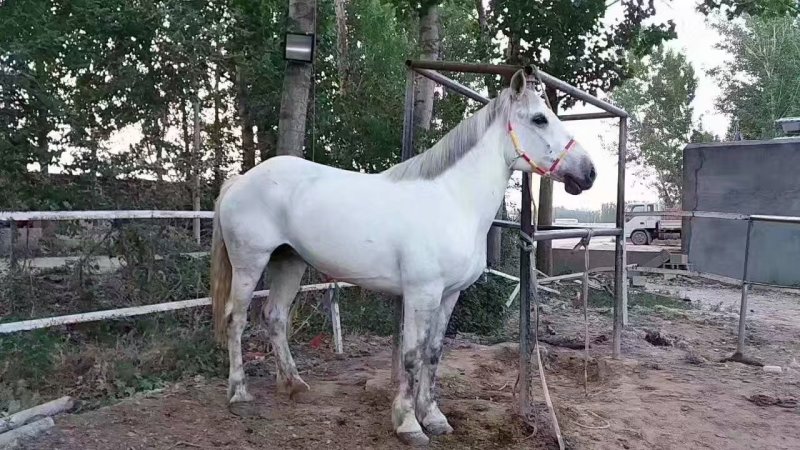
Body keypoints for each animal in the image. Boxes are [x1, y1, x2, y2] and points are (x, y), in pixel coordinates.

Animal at [209, 68, 596, 446]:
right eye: (539, 118)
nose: (589, 172)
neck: (454, 201)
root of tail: (239, 180)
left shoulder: (449, 295)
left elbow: (434, 353)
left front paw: (434, 417)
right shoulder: (421, 293)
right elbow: (412, 354)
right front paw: (408, 424)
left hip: (289, 261)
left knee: (275, 317)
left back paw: (293, 384)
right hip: (250, 262)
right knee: (236, 320)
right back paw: (239, 395)